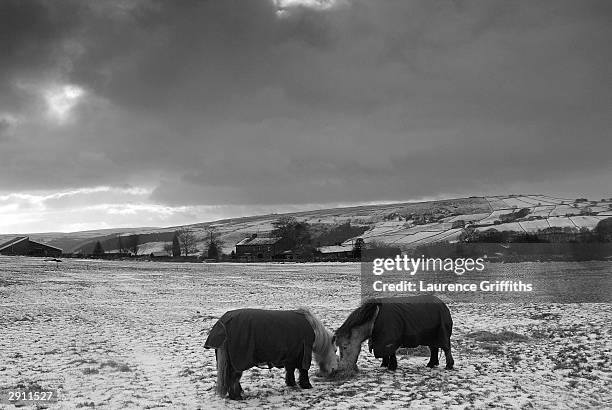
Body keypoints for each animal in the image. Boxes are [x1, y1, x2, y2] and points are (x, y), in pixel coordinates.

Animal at [206, 310, 340, 398]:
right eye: (335, 350)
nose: (334, 370)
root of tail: (223, 323)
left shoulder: (292, 354)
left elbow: (290, 370)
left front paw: (291, 384)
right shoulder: (304, 353)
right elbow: (303, 370)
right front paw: (306, 385)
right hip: (238, 361)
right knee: (234, 378)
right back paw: (237, 396)